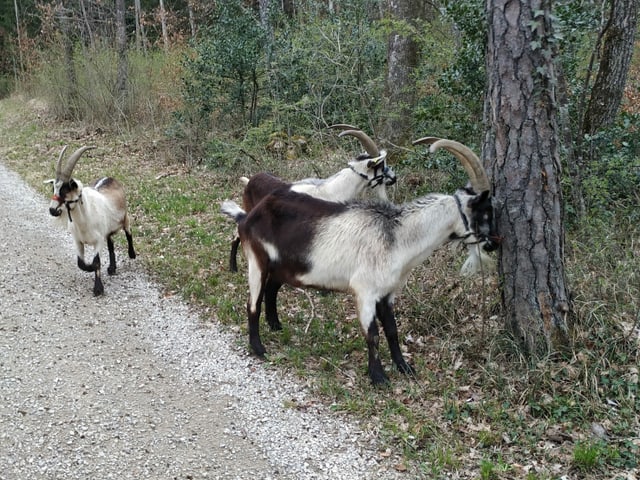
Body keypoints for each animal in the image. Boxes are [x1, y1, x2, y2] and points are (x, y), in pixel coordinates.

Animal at [46, 145, 136, 296]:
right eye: (54, 188)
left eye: (65, 189)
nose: (53, 210)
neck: (84, 221)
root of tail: (109, 178)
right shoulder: (78, 240)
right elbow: (81, 263)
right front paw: (90, 268)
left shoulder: (98, 241)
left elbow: (96, 262)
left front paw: (98, 289)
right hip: (107, 228)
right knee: (111, 243)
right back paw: (112, 268)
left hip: (125, 217)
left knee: (129, 233)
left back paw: (132, 254)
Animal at [225, 124, 396, 274]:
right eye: (380, 165)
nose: (394, 178)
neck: (332, 191)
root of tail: (250, 180)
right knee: (236, 234)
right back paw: (233, 268)